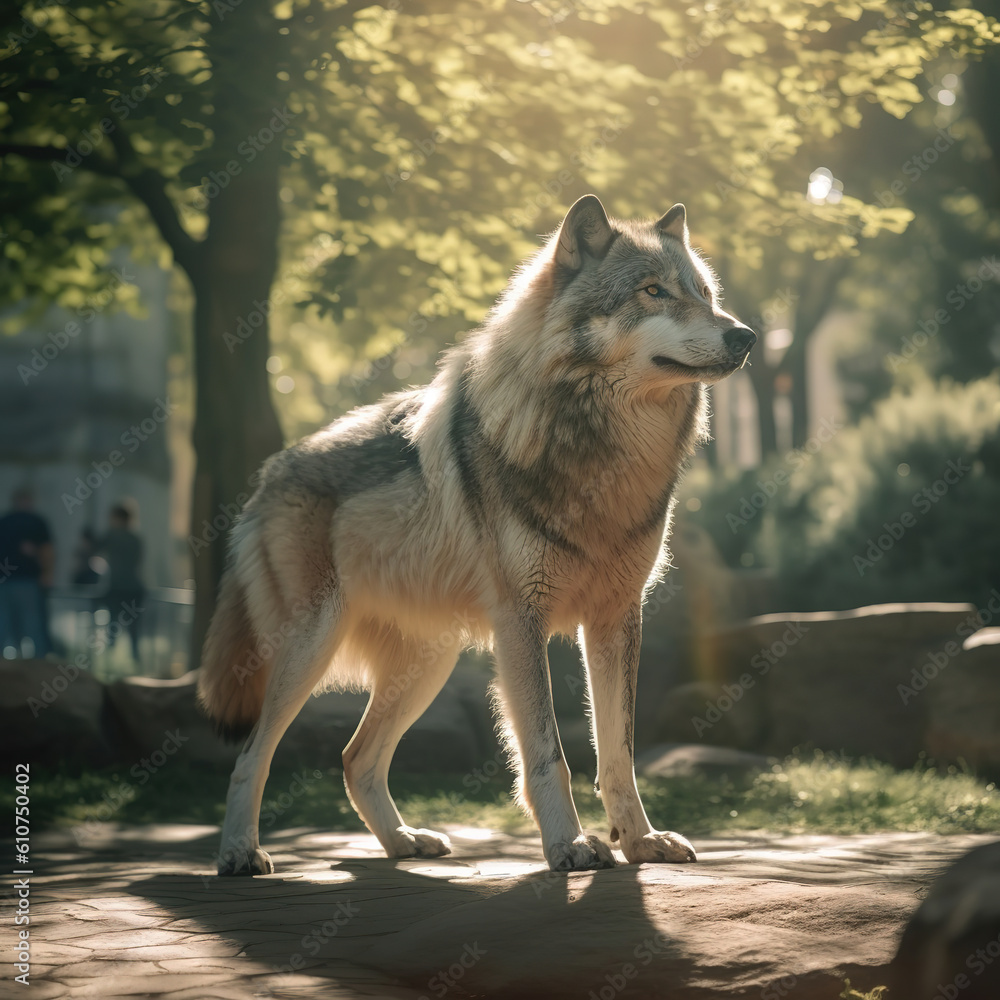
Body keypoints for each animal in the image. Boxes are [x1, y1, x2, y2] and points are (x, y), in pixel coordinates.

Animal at [198, 194, 756, 875]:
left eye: (704, 294)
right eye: (653, 292)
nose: (746, 335)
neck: (603, 457)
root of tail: (269, 473)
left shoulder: (617, 617)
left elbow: (617, 753)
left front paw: (640, 841)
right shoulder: (522, 620)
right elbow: (548, 752)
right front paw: (569, 846)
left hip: (427, 664)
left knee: (355, 759)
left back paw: (403, 842)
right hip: (311, 647)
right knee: (252, 753)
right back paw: (239, 853)